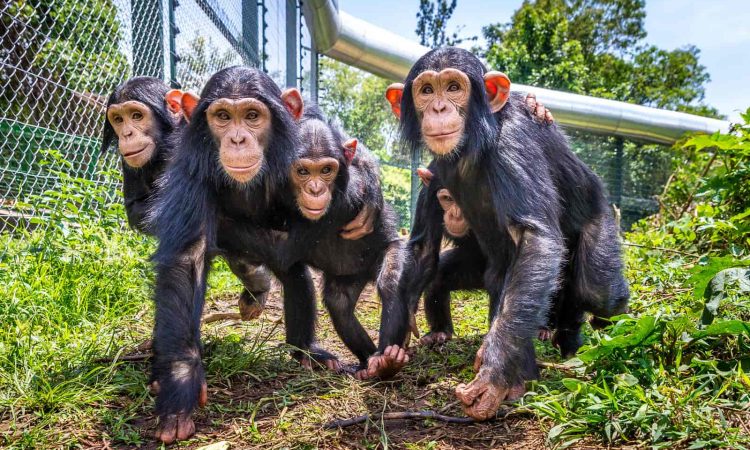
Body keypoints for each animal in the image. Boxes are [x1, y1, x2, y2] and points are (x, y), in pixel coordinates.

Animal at [280, 101, 412, 380]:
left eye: (326, 170)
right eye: (303, 171)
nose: (315, 189)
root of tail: (364, 273)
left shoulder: (351, 194)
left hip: (388, 250)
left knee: (390, 281)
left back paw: (386, 360)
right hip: (346, 279)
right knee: (339, 305)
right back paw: (367, 362)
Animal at [388, 49, 628, 422]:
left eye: (453, 87)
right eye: (426, 90)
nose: (439, 108)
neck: (472, 147)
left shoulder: (513, 148)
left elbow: (535, 238)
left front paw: (491, 377)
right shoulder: (433, 181)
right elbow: (424, 247)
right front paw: (392, 342)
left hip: (599, 219)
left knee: (596, 289)